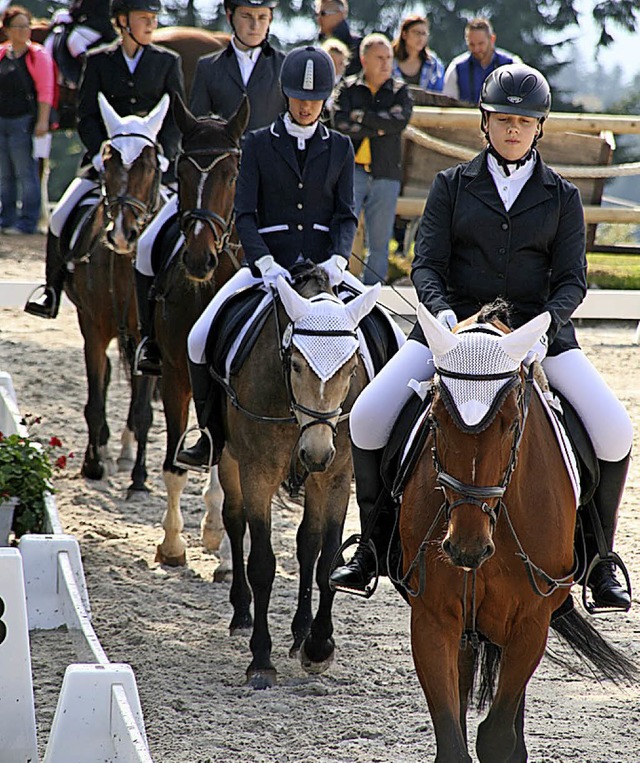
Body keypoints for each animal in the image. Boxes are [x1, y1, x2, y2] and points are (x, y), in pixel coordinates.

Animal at [60, 92, 169, 492]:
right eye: (106, 163)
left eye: (151, 166)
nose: (122, 234)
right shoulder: (91, 327)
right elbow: (95, 396)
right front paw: (93, 463)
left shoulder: (145, 334)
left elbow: (143, 410)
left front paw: (138, 477)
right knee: (108, 375)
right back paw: (108, 450)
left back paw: (125, 452)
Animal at [398, 304, 636, 763]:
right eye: (434, 419)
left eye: (511, 424)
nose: (466, 548)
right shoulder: (433, 617)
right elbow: (453, 743)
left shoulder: (531, 621)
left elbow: (497, 737)